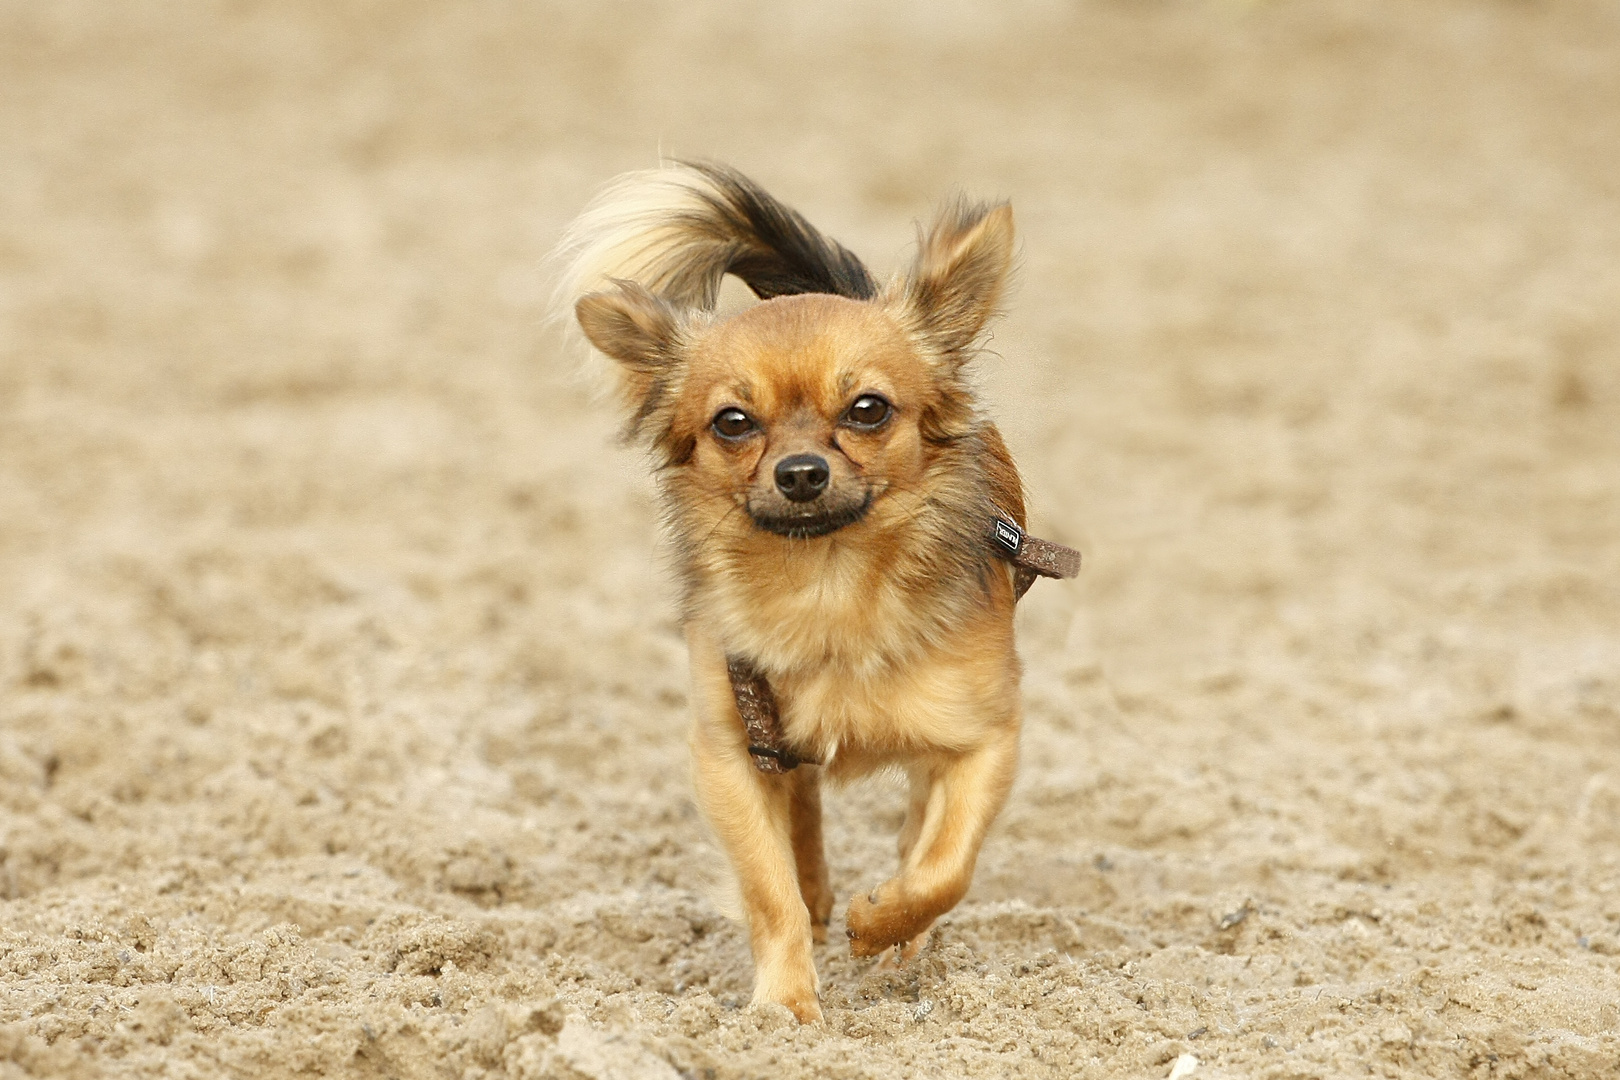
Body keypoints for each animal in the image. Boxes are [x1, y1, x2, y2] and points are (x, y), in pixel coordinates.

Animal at [550, 160, 1069, 1023]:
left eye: (868, 410)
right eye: (733, 422)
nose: (800, 473)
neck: (828, 584)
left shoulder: (984, 739)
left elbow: (943, 867)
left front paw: (884, 924)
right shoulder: (732, 752)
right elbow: (771, 891)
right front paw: (785, 1007)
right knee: (804, 820)